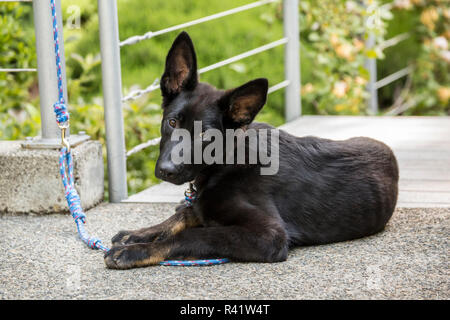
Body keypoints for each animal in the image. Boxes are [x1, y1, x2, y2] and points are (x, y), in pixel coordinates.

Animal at [104, 32, 398, 268]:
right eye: (172, 122)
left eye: (205, 135)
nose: (166, 171)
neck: (225, 164)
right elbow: (183, 215)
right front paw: (138, 234)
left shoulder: (269, 235)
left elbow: (193, 233)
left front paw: (137, 250)